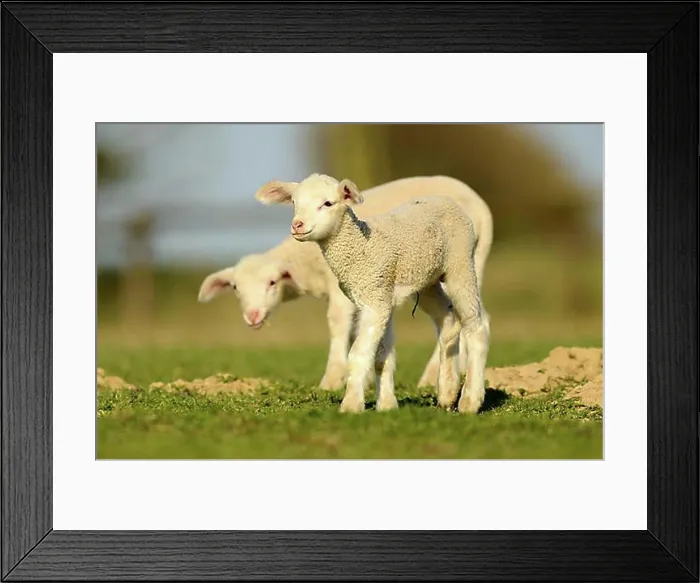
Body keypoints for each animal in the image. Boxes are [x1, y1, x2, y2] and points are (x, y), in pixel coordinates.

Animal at [198, 175, 493, 391]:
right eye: (236, 289)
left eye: (272, 282)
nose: (252, 316)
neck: (307, 264)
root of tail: (483, 208)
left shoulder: (342, 289)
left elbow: (338, 324)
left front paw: (332, 380)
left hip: (463, 264)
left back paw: (435, 378)